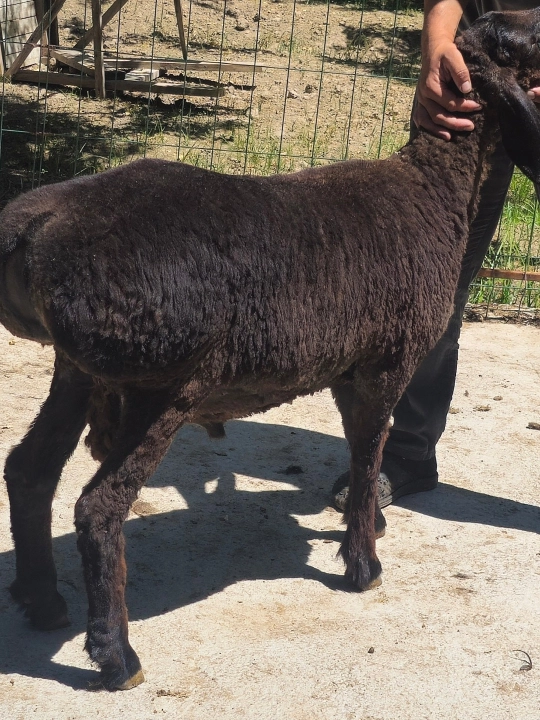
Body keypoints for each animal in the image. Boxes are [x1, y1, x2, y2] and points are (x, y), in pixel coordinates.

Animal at [1, 8, 540, 691]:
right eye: (522, 37)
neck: (434, 191)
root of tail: (32, 226)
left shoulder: (349, 363)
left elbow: (364, 450)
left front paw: (367, 525)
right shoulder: (388, 360)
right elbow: (369, 451)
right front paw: (363, 565)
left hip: (79, 370)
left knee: (29, 471)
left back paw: (43, 602)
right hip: (163, 380)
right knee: (98, 508)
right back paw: (117, 655)